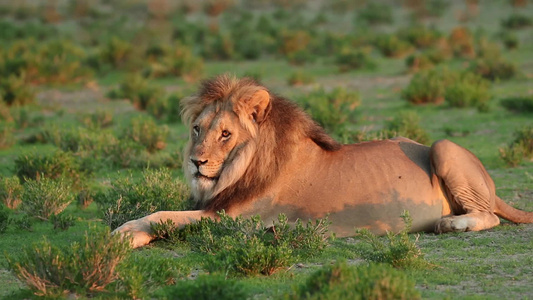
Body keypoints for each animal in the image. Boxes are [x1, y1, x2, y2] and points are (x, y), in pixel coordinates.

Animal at [116, 74, 532, 247]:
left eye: (225, 134)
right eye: (197, 129)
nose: (196, 163)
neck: (241, 168)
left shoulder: (238, 220)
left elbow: (166, 216)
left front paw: (124, 235)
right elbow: (162, 211)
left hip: (443, 147)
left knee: (490, 216)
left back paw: (451, 224)